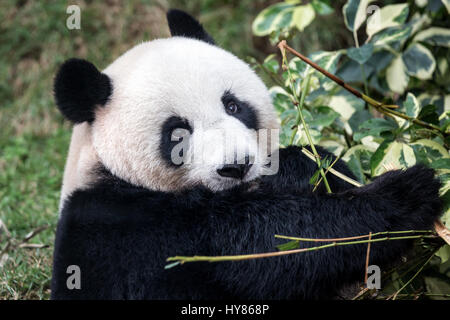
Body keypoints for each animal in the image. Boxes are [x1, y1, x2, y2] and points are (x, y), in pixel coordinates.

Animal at [51, 10, 442, 300]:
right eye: (177, 133)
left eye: (234, 106)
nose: (236, 166)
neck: (108, 168)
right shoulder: (134, 230)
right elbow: (270, 245)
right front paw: (407, 193)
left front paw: (308, 167)